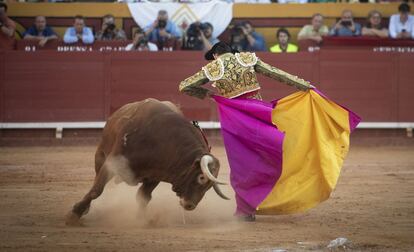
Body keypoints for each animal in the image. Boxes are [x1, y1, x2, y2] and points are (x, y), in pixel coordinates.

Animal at [65, 99, 230, 226]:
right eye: (201, 178)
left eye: (209, 186)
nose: (189, 205)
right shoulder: (113, 163)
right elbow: (96, 190)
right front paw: (73, 215)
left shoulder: (155, 176)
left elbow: (143, 197)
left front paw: (142, 219)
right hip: (100, 155)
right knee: (95, 180)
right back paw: (84, 209)